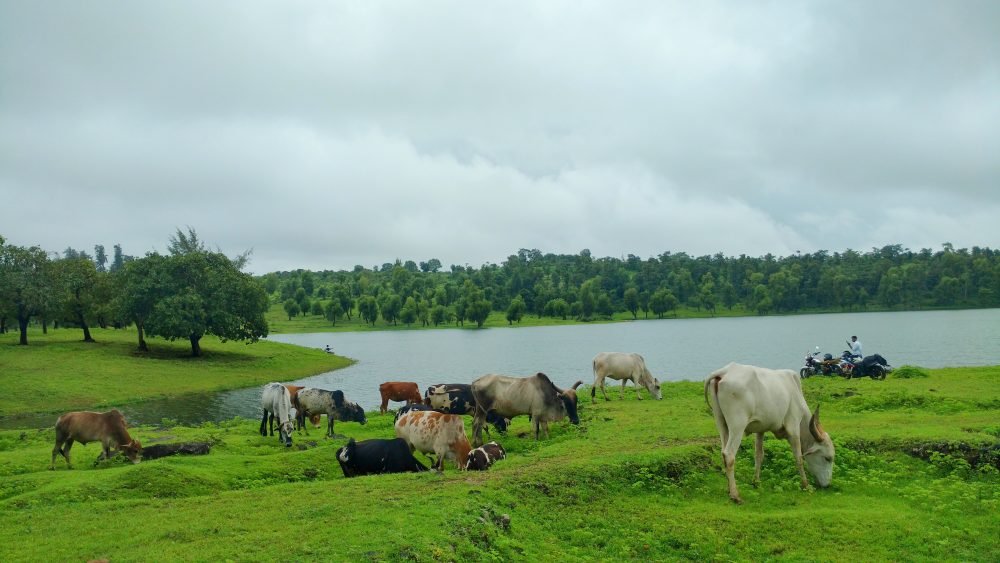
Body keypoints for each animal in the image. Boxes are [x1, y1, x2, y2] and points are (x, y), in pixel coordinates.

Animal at [704, 364, 836, 504]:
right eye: (828, 458)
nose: (827, 485)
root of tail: (724, 372)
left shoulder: (760, 430)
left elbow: (759, 455)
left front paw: (756, 482)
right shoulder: (793, 427)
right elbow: (799, 457)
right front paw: (806, 485)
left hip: (721, 422)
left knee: (723, 453)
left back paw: (729, 490)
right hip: (737, 425)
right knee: (729, 454)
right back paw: (735, 495)